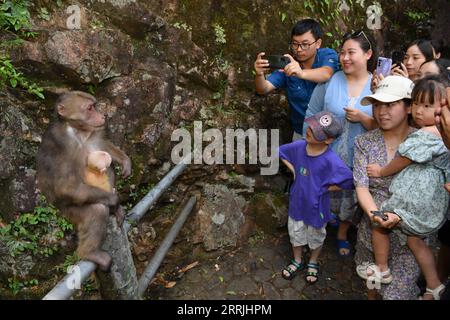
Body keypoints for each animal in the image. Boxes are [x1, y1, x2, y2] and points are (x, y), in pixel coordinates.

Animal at [36, 91, 131, 272]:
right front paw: (115, 200)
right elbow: (65, 187)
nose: (103, 115)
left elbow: (102, 146)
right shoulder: (62, 143)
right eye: (89, 108)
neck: (79, 131)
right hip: (68, 212)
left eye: (95, 106)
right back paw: (89, 253)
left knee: (108, 167)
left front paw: (125, 162)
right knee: (97, 210)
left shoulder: (95, 132)